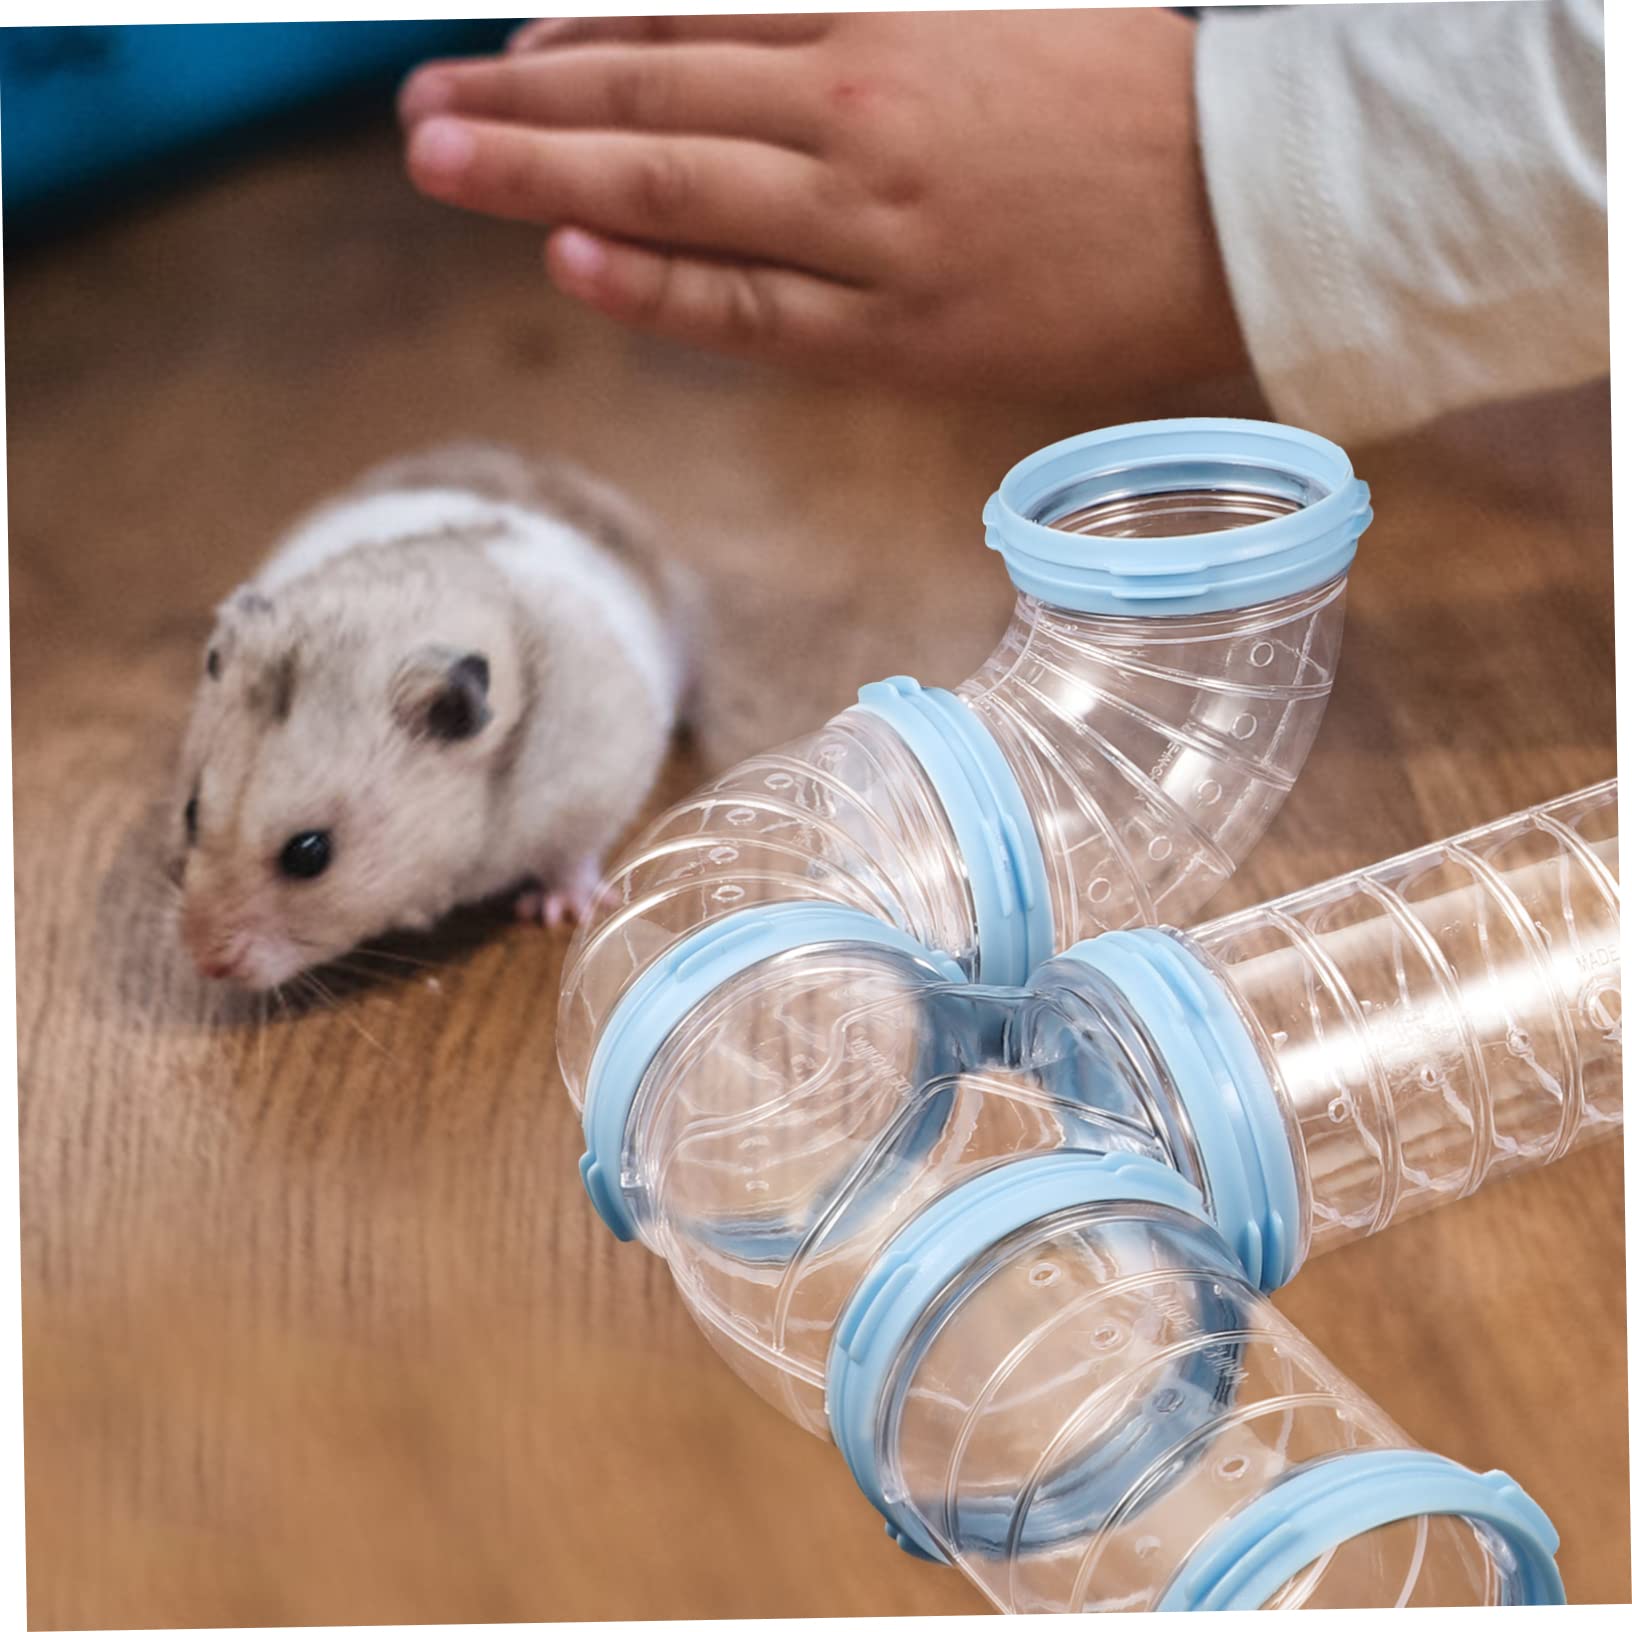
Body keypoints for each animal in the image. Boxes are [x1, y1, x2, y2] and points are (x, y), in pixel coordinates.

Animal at [171, 443, 693, 990]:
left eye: (309, 854)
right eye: (190, 813)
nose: (205, 961)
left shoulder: (599, 784)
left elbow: (573, 856)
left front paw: (555, 912)